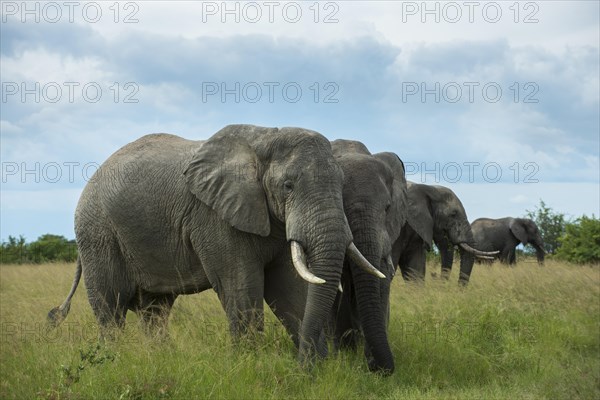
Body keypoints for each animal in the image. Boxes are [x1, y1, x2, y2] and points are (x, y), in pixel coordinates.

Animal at [50, 124, 380, 366]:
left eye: (342, 184)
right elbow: (242, 286)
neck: (265, 137)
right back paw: (113, 361)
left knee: (155, 310)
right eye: (288, 186)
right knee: (111, 308)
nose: (304, 364)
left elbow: (289, 290)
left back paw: (161, 359)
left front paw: (316, 370)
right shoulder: (214, 217)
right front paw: (250, 367)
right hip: (98, 232)